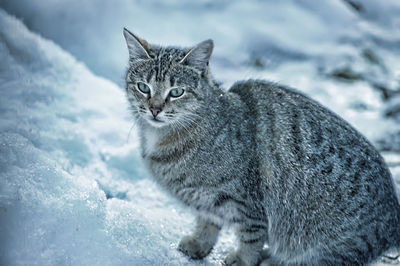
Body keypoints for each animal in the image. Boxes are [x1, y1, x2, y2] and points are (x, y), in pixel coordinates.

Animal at [122, 28, 400, 264]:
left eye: (176, 92)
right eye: (143, 87)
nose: (155, 109)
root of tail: (393, 213)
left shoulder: (248, 201)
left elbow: (251, 235)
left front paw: (244, 259)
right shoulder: (207, 201)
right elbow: (207, 222)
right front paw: (200, 243)